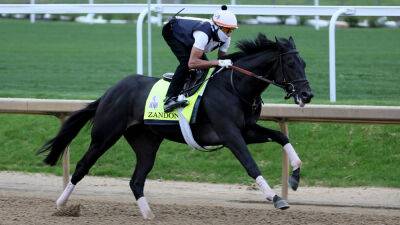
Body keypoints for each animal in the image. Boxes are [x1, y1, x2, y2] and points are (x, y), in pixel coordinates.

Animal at [39, 34, 312, 219]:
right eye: (290, 64)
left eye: (304, 63)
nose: (307, 95)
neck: (234, 86)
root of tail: (111, 91)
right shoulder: (229, 134)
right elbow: (250, 164)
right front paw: (276, 198)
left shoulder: (246, 130)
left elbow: (280, 136)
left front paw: (295, 176)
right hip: (105, 134)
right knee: (83, 166)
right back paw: (61, 204)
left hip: (146, 143)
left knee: (136, 180)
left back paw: (148, 214)